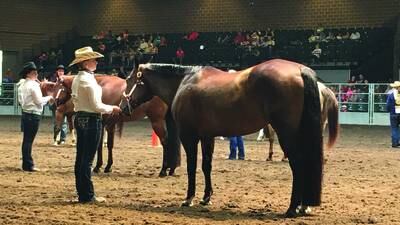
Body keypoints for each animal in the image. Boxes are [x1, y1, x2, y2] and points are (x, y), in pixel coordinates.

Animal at [41, 75, 181, 176]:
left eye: (60, 88)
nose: (55, 103)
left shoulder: (102, 124)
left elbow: (100, 145)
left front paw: (98, 166)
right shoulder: (109, 124)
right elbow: (109, 145)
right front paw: (107, 166)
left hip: (157, 122)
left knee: (166, 142)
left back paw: (164, 169)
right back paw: (171, 169)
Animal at [119, 59, 338, 217]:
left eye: (129, 80)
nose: (122, 107)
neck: (185, 82)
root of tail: (300, 70)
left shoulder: (189, 136)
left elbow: (192, 167)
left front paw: (189, 198)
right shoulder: (207, 136)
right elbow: (206, 166)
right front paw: (206, 198)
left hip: (287, 133)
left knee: (298, 165)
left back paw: (293, 208)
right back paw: (303, 207)